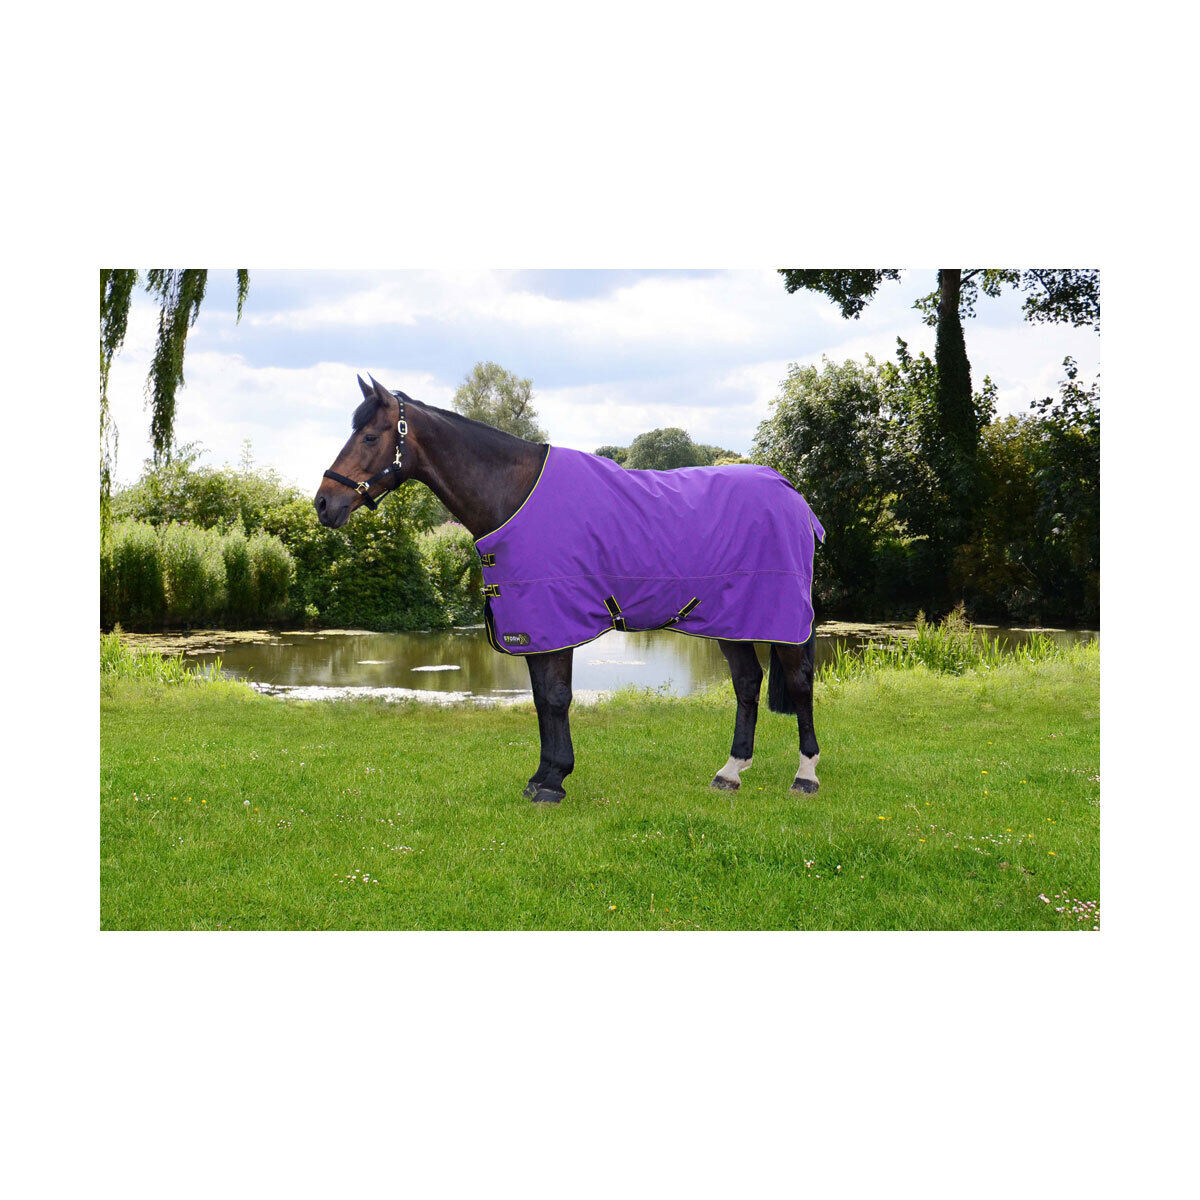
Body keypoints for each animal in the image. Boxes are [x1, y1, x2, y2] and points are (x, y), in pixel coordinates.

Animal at [315, 375, 823, 805]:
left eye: (370, 436)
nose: (323, 503)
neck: (514, 494)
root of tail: (790, 492)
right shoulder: (532, 626)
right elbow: (542, 699)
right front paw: (544, 776)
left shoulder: (554, 620)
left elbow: (556, 697)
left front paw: (552, 782)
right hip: (729, 619)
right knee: (747, 683)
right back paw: (730, 772)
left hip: (781, 620)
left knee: (799, 683)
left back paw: (805, 776)